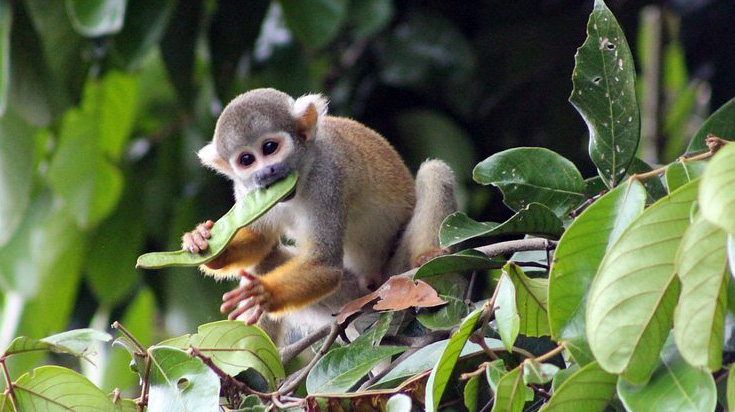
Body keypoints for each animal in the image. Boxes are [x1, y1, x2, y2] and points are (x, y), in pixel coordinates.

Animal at [181, 88, 457, 344]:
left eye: (269, 148)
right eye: (246, 160)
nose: (266, 172)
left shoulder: (327, 177)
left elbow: (324, 263)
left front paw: (265, 293)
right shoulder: (248, 192)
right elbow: (261, 240)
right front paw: (203, 243)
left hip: (395, 279)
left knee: (435, 172)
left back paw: (428, 257)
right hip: (351, 298)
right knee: (266, 259)